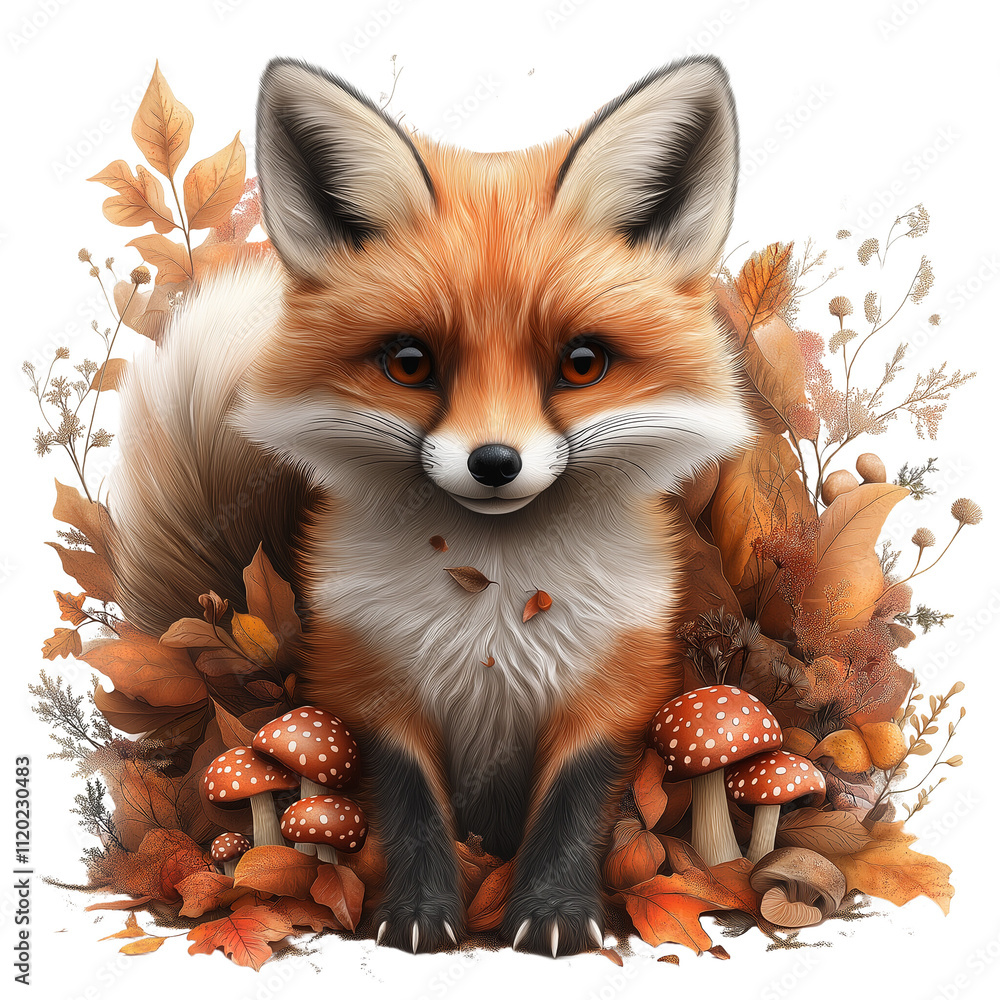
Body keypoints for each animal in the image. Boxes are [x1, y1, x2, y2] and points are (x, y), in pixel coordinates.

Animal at [106, 55, 753, 956]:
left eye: (581, 362)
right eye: (410, 362)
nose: (495, 463)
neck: (495, 603)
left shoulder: (617, 682)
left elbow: (574, 803)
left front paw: (555, 912)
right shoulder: (367, 680)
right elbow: (409, 806)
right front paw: (416, 914)